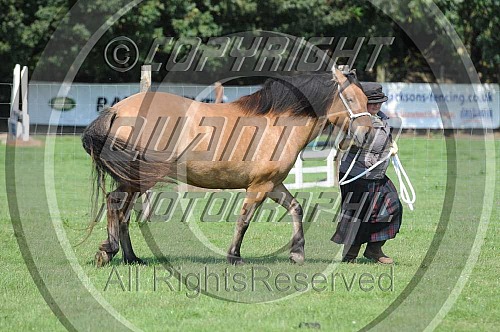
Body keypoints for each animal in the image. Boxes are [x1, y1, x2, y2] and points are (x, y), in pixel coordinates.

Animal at [81, 68, 372, 268]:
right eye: (349, 99)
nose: (368, 134)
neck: (277, 123)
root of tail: (117, 110)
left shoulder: (273, 184)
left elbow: (296, 208)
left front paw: (297, 253)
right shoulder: (259, 187)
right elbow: (244, 220)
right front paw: (234, 256)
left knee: (123, 213)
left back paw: (131, 257)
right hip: (138, 179)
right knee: (115, 204)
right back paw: (109, 251)